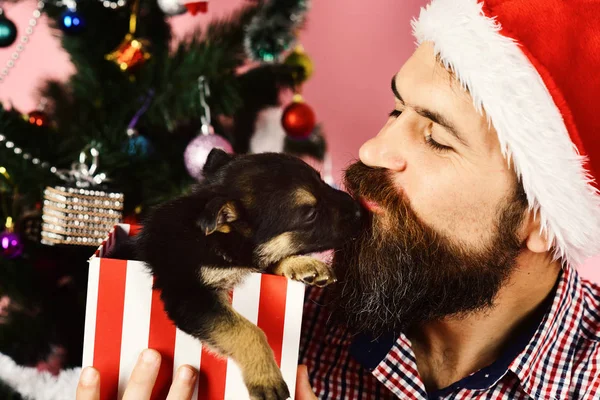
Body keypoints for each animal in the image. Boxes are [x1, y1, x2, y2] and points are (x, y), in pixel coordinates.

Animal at [136, 148, 360, 398]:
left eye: (322, 181)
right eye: (311, 214)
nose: (360, 211)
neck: (213, 240)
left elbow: (269, 260)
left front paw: (304, 264)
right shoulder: (189, 296)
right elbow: (247, 330)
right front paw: (265, 377)